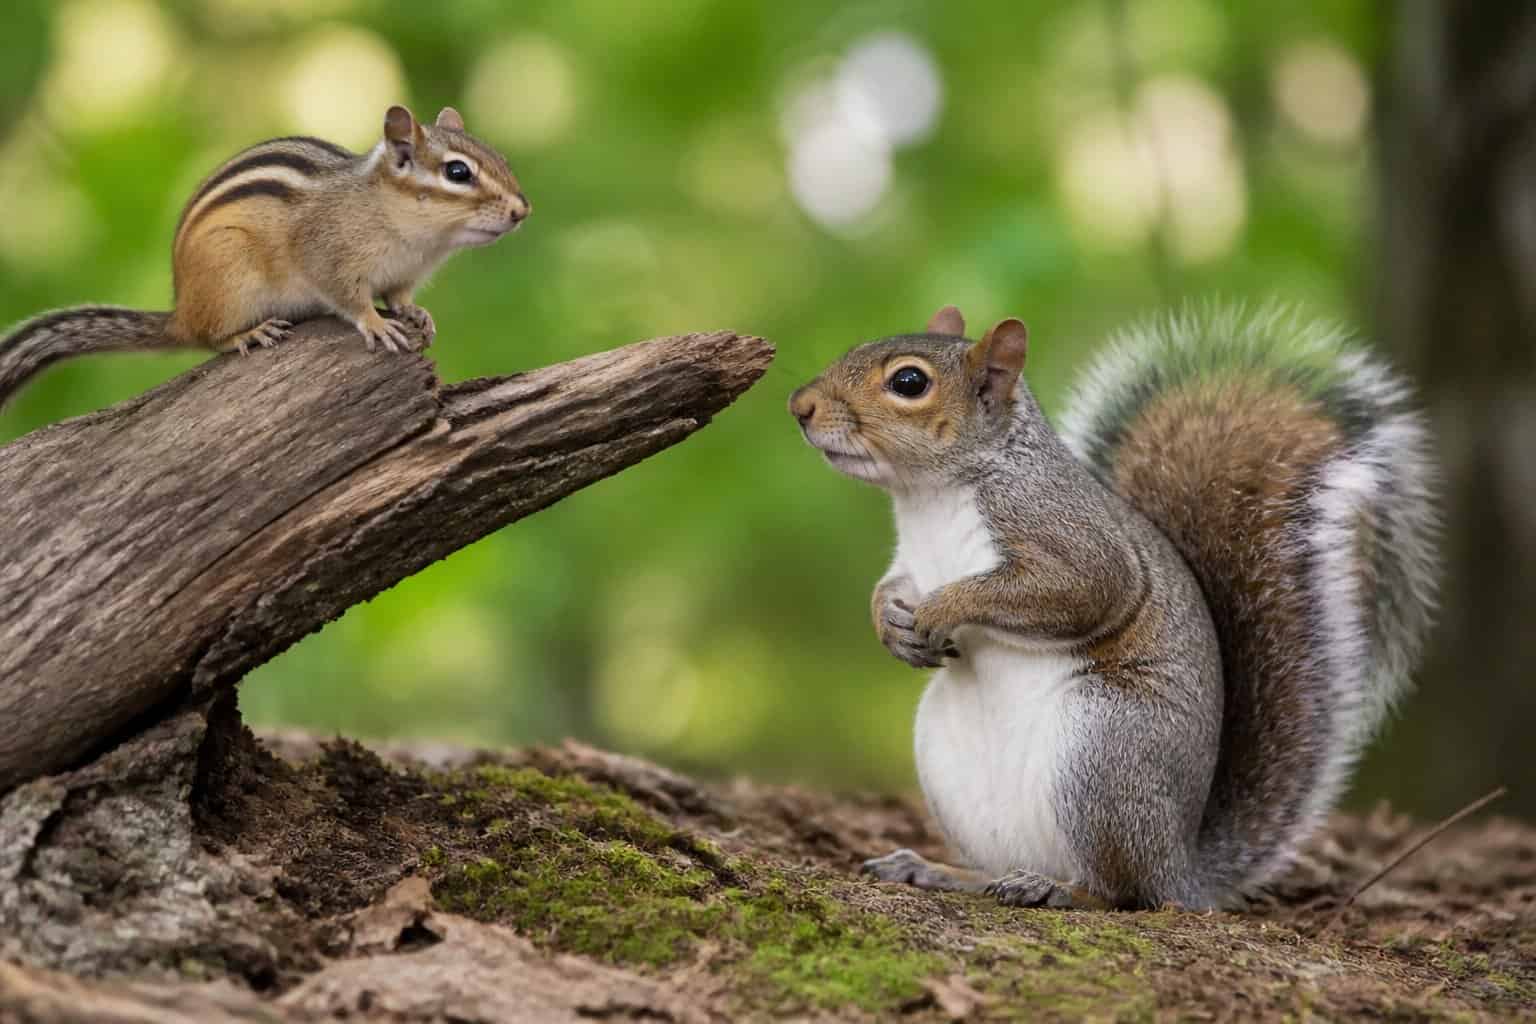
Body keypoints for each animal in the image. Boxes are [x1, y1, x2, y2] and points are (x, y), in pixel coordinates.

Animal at [0, 104, 529, 408]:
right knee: (211, 338)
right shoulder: (328, 255)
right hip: (232, 275)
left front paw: (416, 314)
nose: (523, 211)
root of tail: (181, 311)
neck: (417, 236)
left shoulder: (404, 274)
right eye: (458, 172)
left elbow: (400, 296)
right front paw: (376, 323)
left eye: (501, 158)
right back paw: (248, 333)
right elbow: (349, 298)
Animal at [789, 304, 1439, 910]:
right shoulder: (910, 560)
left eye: (908, 382)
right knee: (1005, 869)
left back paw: (1058, 890)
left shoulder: (1070, 541)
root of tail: (1180, 866)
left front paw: (943, 608)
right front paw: (891, 624)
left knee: (1123, 891)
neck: (930, 495)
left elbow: (1081, 590)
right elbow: (888, 586)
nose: (800, 405)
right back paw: (942, 871)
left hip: (1103, 750)